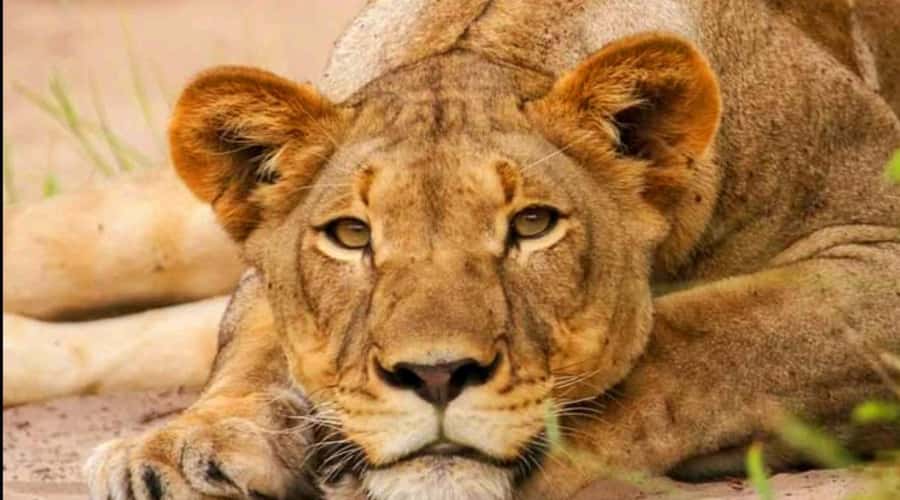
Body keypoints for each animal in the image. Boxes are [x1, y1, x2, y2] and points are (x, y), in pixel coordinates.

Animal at [85, 1, 900, 499]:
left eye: (532, 226)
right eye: (353, 235)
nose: (436, 375)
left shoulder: (875, 246)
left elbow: (692, 338)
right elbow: (252, 346)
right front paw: (181, 451)